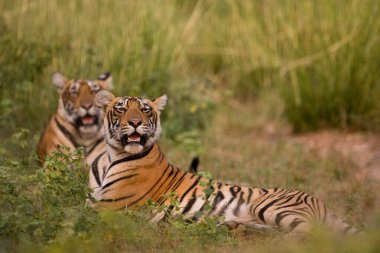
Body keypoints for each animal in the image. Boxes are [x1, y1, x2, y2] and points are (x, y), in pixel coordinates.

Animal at [88, 90, 360, 236]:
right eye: (121, 109)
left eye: (145, 110)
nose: (135, 122)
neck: (111, 155)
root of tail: (320, 202)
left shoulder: (108, 207)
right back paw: (230, 226)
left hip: (272, 206)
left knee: (308, 233)